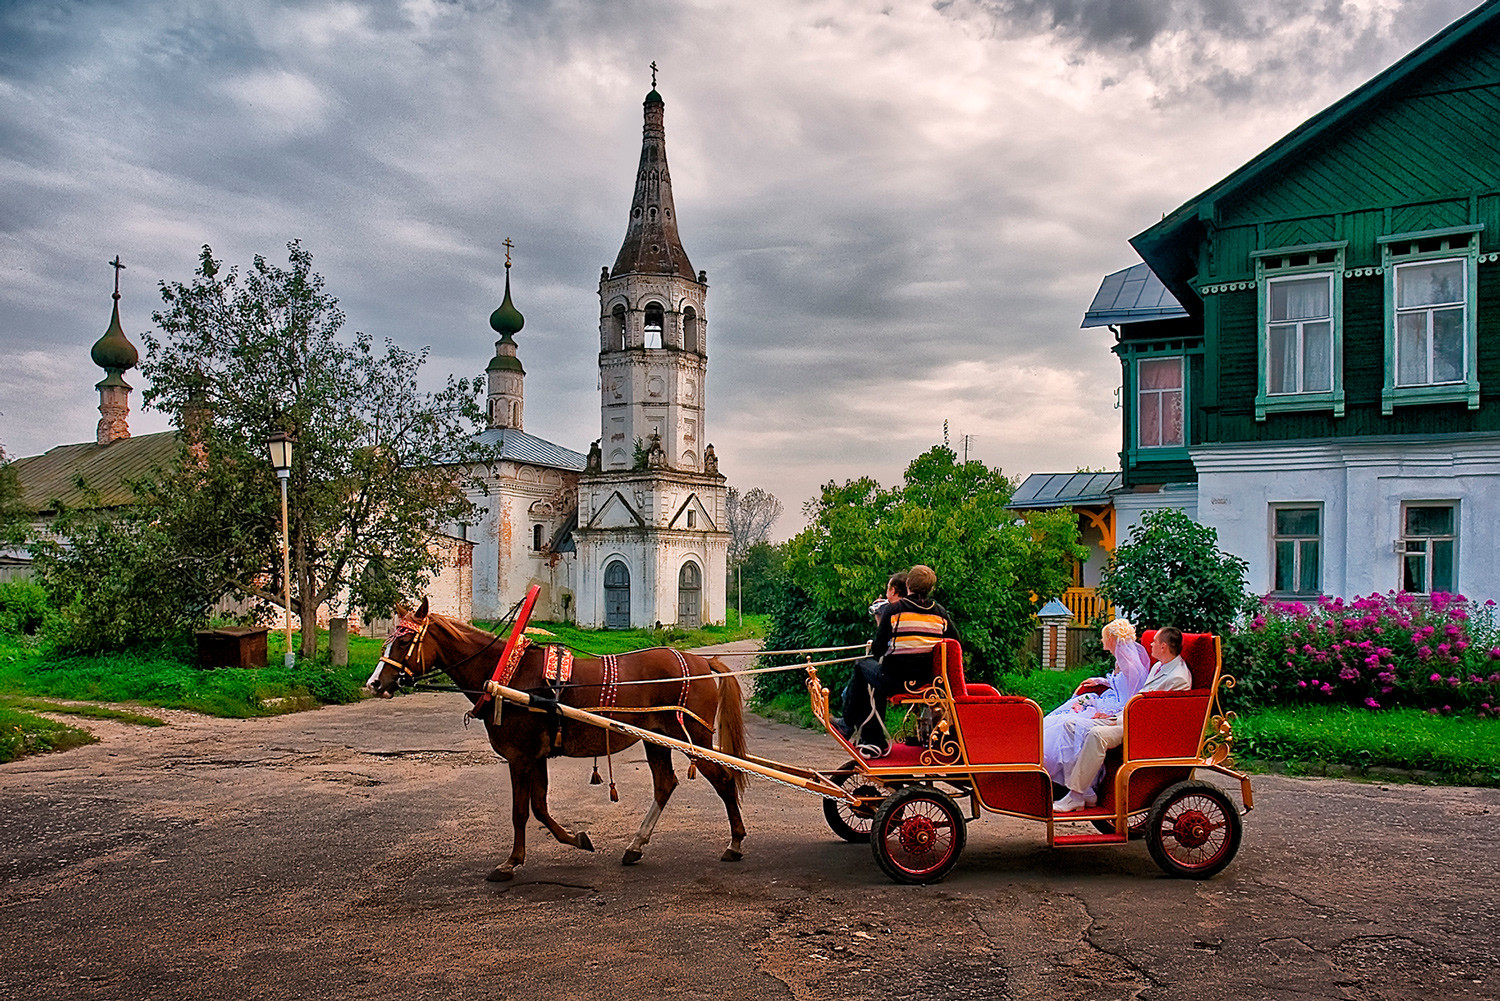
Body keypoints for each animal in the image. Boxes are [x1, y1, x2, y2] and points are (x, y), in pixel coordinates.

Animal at [364, 600, 750, 882]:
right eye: (388, 639)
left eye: (403, 641)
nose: (374, 684)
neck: (509, 675)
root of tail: (702, 661)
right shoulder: (537, 756)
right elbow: (539, 807)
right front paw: (576, 839)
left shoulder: (520, 756)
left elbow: (521, 811)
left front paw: (511, 862)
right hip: (656, 739)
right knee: (665, 785)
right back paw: (636, 846)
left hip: (694, 737)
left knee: (723, 779)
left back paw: (735, 842)